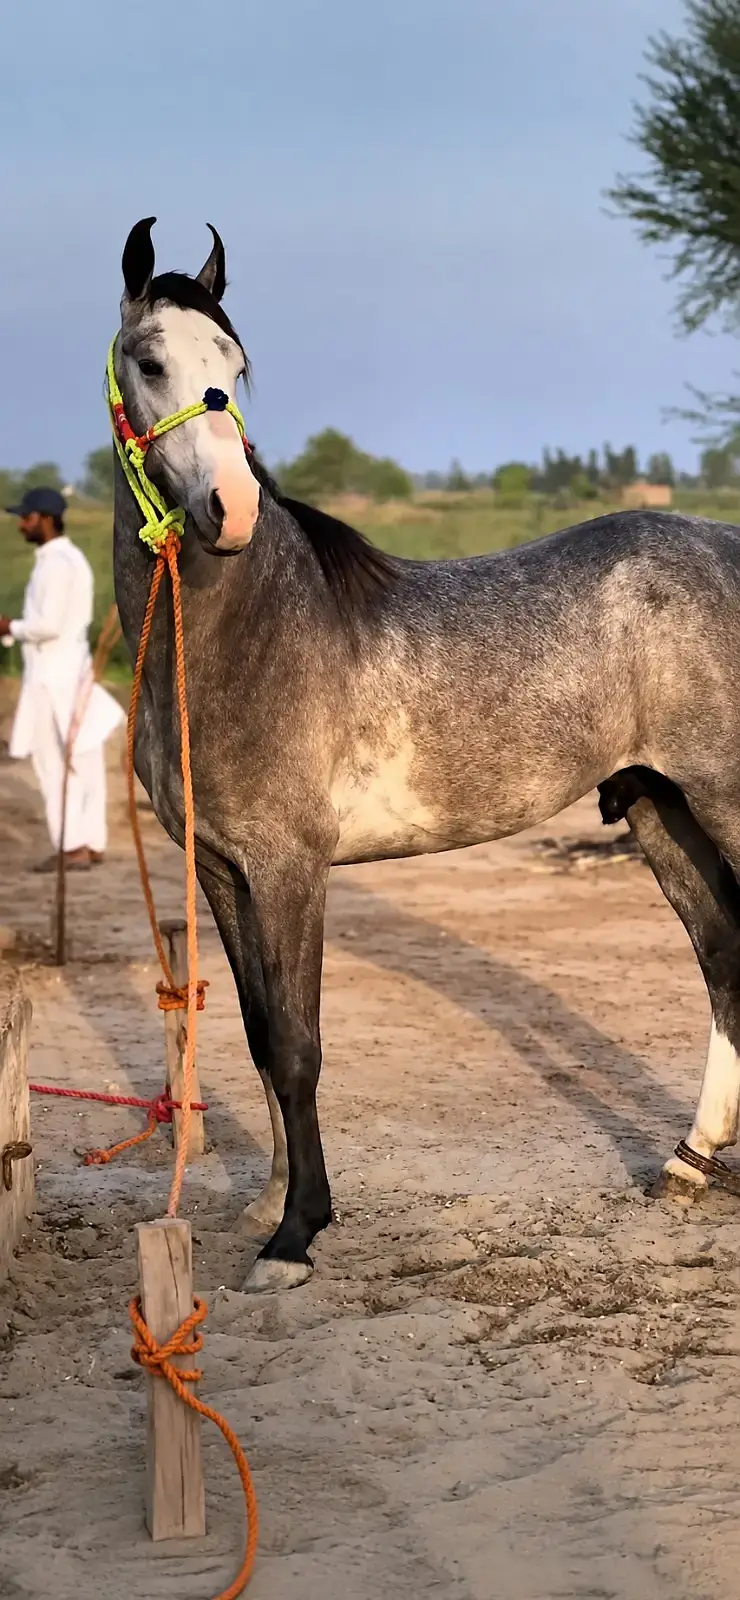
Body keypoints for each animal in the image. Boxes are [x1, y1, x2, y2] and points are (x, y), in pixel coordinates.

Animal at [112, 216, 740, 1293]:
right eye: (150, 361)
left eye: (233, 364)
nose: (229, 508)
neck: (249, 629)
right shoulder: (222, 868)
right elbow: (256, 1030)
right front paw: (270, 1205)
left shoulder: (291, 867)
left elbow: (298, 1045)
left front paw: (296, 1235)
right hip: (663, 807)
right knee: (723, 956)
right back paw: (689, 1162)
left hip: (723, 800)